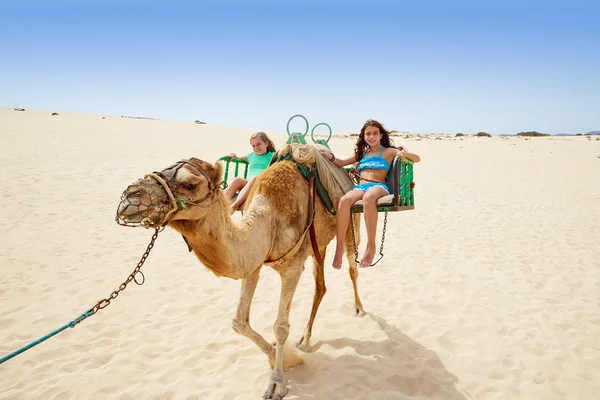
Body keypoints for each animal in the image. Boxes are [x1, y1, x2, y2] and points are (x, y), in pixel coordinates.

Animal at [115, 155, 364, 398]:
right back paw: (305, 338)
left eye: (190, 184)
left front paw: (277, 381)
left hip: (350, 219)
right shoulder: (253, 265)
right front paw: (282, 357)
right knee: (320, 284)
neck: (270, 220)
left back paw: (358, 309)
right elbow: (238, 322)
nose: (130, 196)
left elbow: (280, 327)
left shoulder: (292, 267)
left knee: (352, 266)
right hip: (318, 243)